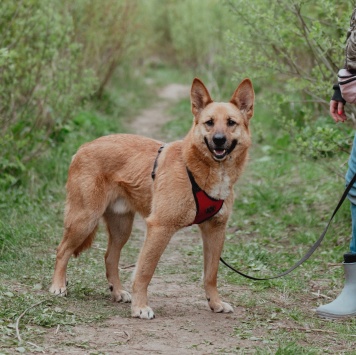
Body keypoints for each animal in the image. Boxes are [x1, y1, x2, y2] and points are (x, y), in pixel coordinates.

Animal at [50, 78, 254, 320]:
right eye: (209, 123)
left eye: (231, 123)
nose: (219, 140)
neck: (198, 169)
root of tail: (83, 147)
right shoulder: (160, 227)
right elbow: (145, 272)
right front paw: (140, 307)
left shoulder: (215, 230)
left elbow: (211, 274)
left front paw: (215, 303)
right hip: (85, 219)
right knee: (62, 250)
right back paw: (58, 285)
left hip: (121, 228)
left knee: (110, 257)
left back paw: (117, 291)